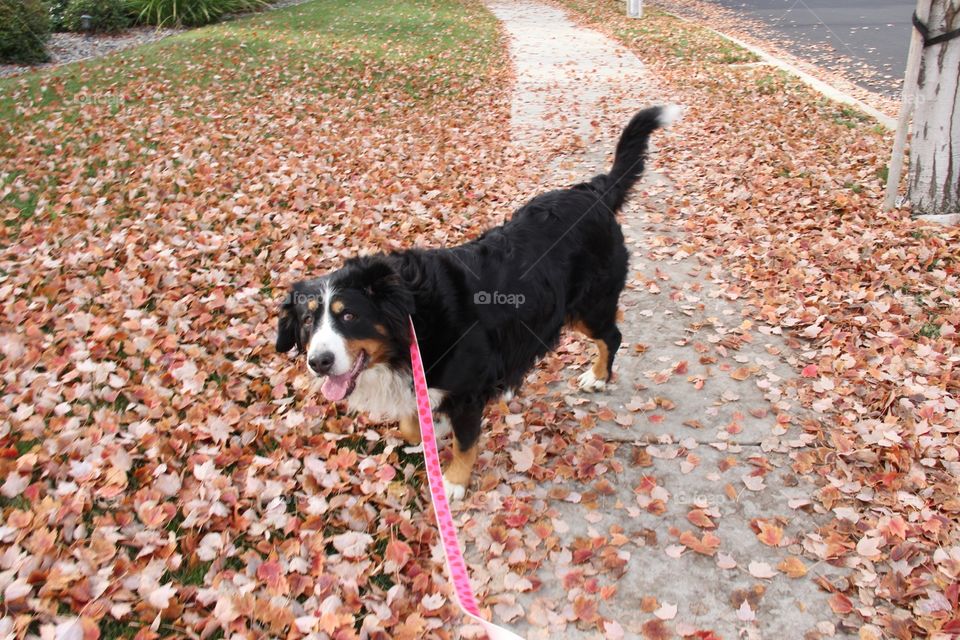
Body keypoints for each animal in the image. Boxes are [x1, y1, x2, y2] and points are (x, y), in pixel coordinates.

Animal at [276, 105, 684, 498]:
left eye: (349, 316)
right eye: (308, 321)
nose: (318, 362)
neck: (412, 327)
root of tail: (593, 193)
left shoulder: (467, 392)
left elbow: (465, 442)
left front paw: (453, 483)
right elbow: (413, 425)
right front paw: (433, 429)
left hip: (589, 307)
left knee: (611, 337)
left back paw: (597, 377)